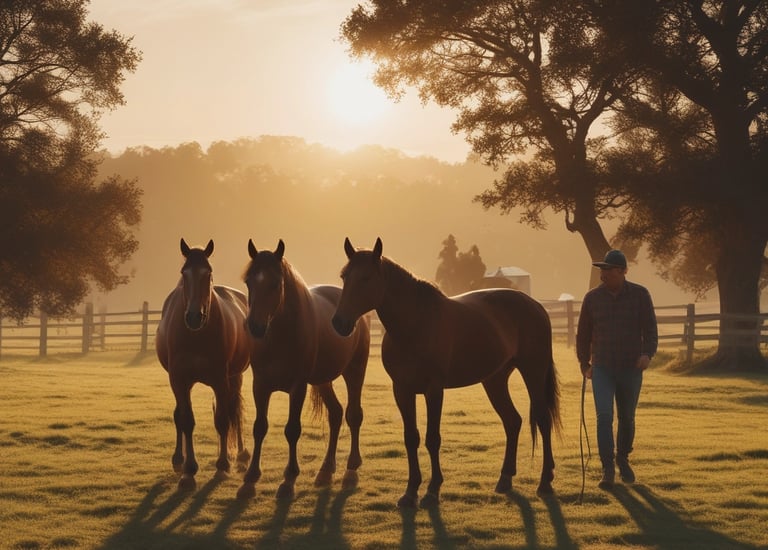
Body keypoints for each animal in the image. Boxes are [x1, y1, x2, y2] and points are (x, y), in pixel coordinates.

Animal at [155, 238, 251, 491]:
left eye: (208, 273)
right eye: (184, 272)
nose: (194, 317)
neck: (196, 336)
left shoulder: (220, 380)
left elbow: (222, 420)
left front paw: (222, 464)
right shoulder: (179, 381)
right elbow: (186, 420)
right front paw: (188, 471)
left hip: (235, 377)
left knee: (233, 411)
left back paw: (241, 453)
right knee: (180, 415)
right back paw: (179, 459)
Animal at [236, 239, 371, 500]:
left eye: (276, 283)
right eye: (249, 282)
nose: (255, 327)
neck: (280, 336)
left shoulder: (297, 388)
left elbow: (292, 430)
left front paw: (288, 481)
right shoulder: (260, 385)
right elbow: (260, 427)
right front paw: (250, 480)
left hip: (355, 371)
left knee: (353, 415)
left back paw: (350, 470)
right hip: (322, 380)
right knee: (336, 413)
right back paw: (326, 470)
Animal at [331, 237, 561, 508]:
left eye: (366, 277)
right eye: (344, 276)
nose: (339, 323)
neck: (415, 325)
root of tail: (536, 306)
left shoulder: (434, 390)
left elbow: (432, 438)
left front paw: (432, 490)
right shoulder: (402, 390)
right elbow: (411, 437)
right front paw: (410, 491)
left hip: (533, 372)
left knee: (542, 419)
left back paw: (545, 482)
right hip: (495, 380)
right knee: (512, 420)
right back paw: (505, 479)